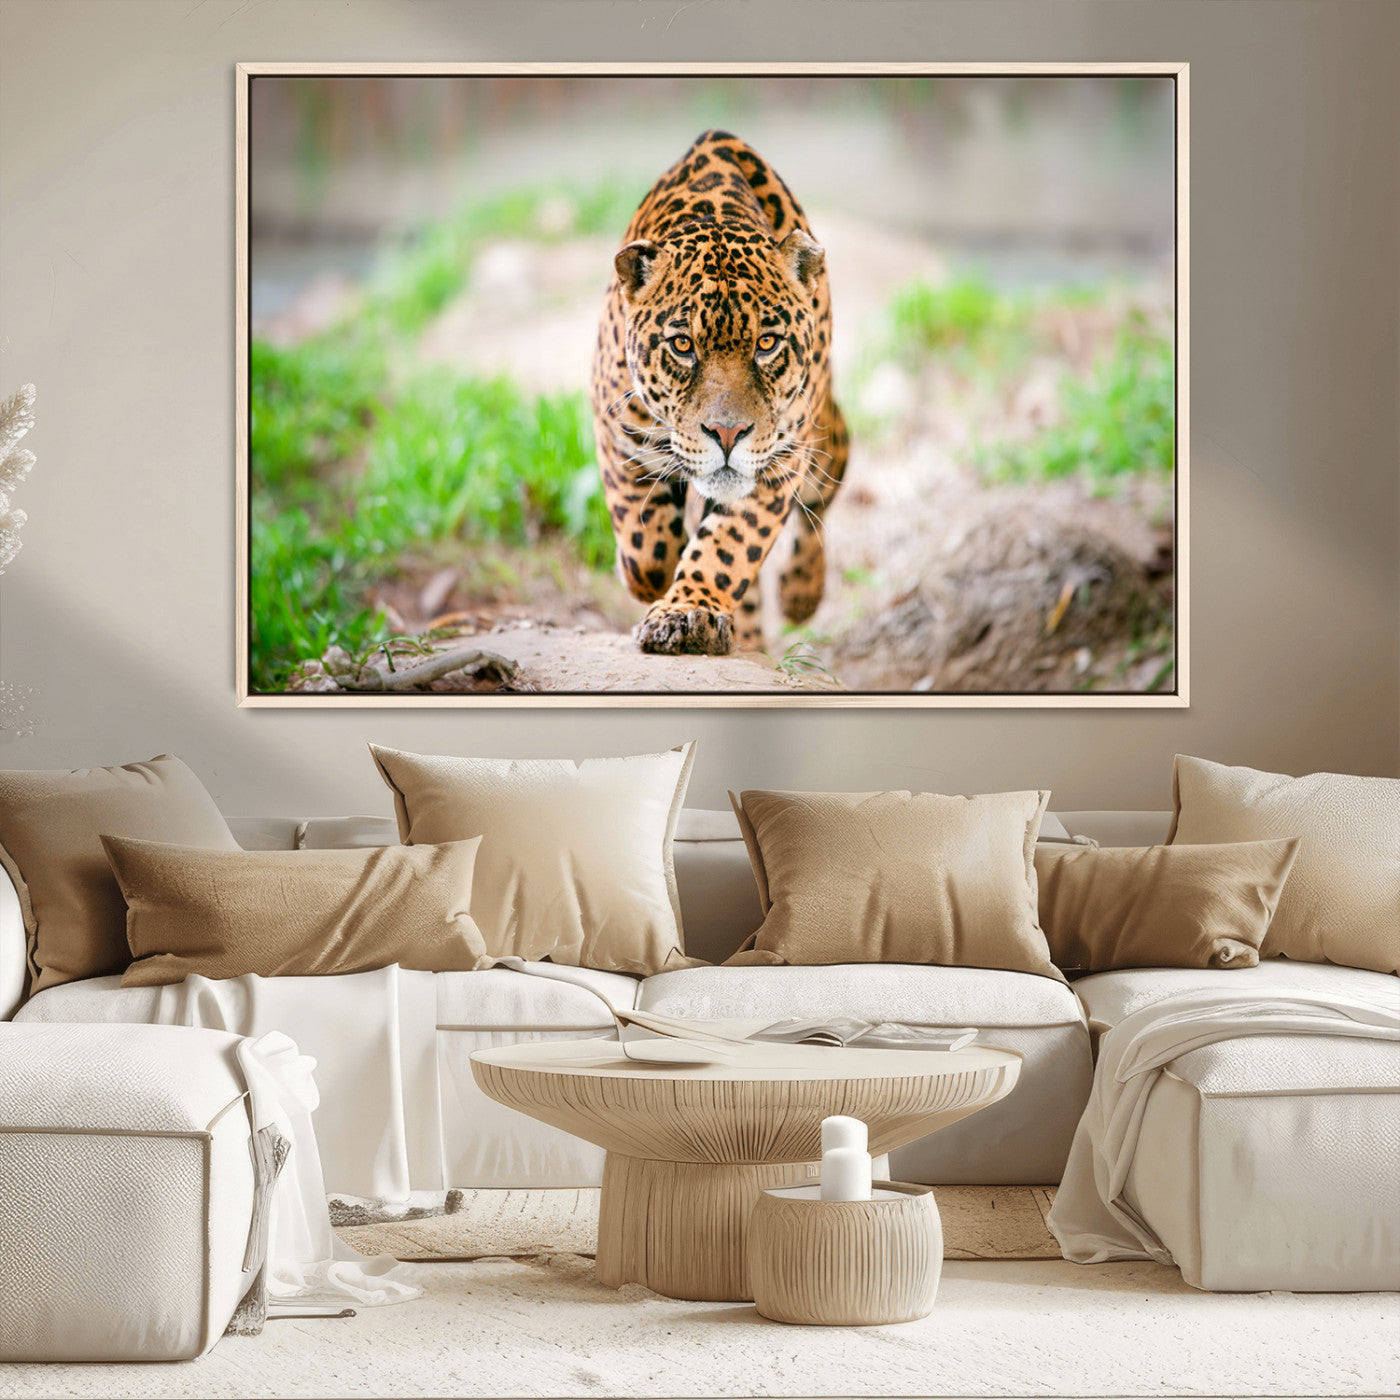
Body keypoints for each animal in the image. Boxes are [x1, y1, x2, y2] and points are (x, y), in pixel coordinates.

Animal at [590, 129, 849, 656]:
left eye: (767, 344)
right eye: (682, 345)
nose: (727, 434)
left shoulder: (778, 462)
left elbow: (727, 547)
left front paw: (688, 612)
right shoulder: (615, 430)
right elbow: (645, 546)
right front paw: (648, 578)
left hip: (822, 440)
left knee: (824, 489)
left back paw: (800, 594)